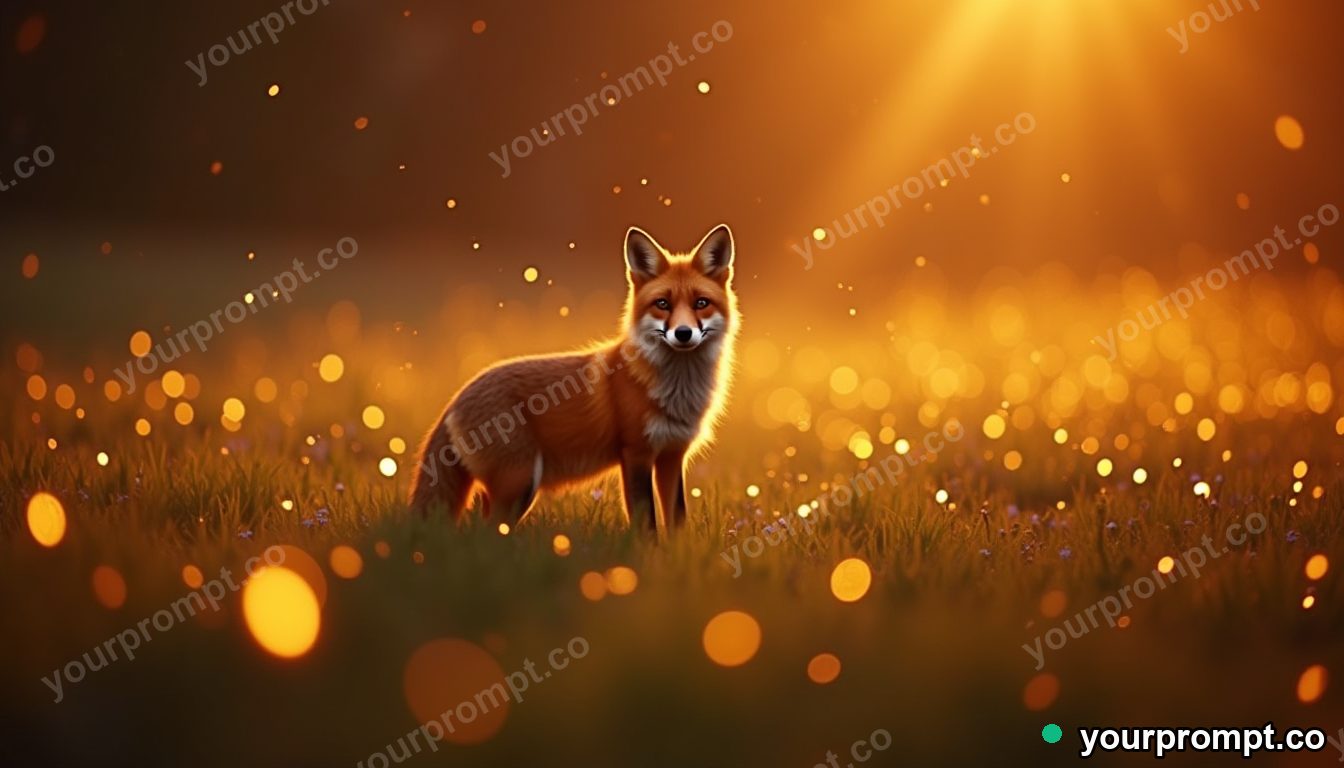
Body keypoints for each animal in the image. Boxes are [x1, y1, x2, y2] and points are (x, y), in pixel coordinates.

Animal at [408, 224, 738, 535]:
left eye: (701, 303)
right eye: (662, 304)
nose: (683, 333)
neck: (676, 389)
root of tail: (456, 397)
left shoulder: (671, 455)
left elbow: (677, 521)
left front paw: (676, 553)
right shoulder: (636, 454)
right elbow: (646, 525)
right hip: (520, 482)